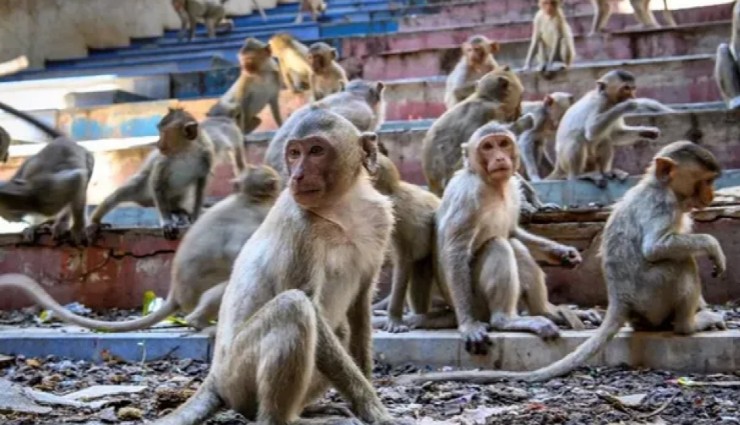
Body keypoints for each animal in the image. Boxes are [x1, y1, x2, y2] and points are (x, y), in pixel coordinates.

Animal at [0, 100, 94, 245]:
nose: (10, 220)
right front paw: (34, 227)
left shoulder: (45, 198)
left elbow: (77, 178)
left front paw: (77, 228)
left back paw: (62, 223)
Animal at [0, 164, 280, 332]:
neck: (247, 199)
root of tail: (176, 295)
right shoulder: (253, 218)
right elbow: (238, 253)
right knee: (225, 288)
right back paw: (200, 323)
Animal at [87, 107, 215, 240]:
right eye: (160, 131)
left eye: (163, 133)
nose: (158, 144)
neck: (186, 151)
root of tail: (146, 202)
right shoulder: (164, 159)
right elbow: (157, 182)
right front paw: (167, 222)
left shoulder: (207, 155)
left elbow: (201, 186)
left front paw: (195, 219)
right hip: (141, 190)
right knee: (120, 194)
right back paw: (95, 222)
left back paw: (181, 212)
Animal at [147, 107, 414, 424]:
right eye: (294, 153)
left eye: (316, 150)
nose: (297, 175)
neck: (342, 206)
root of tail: (215, 377)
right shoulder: (299, 227)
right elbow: (308, 304)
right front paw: (371, 405)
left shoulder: (380, 220)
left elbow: (360, 306)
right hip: (239, 376)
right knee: (293, 307)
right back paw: (283, 418)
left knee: (339, 329)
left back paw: (308, 409)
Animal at [396, 140, 724, 384]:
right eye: (705, 181)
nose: (710, 195)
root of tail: (620, 301)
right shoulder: (662, 205)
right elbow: (655, 248)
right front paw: (712, 247)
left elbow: (514, 231)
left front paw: (564, 253)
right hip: (652, 296)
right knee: (680, 264)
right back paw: (688, 325)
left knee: (513, 243)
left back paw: (547, 311)